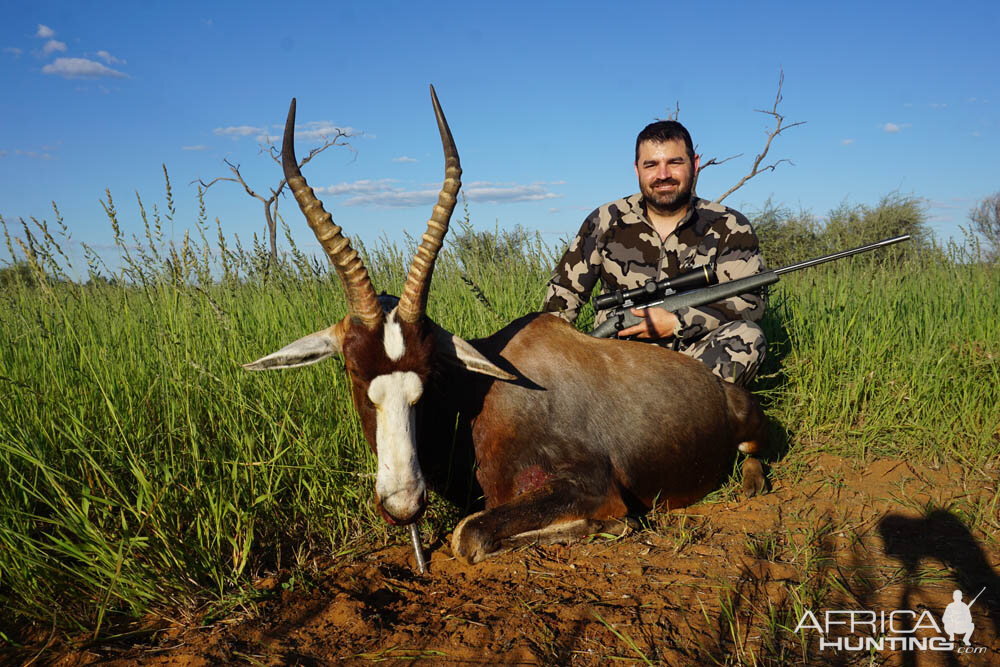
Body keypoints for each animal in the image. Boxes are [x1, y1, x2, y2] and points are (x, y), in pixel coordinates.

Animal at [244, 83, 764, 564]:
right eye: (354, 370)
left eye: (430, 372)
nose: (404, 505)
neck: (484, 390)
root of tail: (720, 388)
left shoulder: (593, 485)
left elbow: (468, 534)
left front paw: (614, 526)